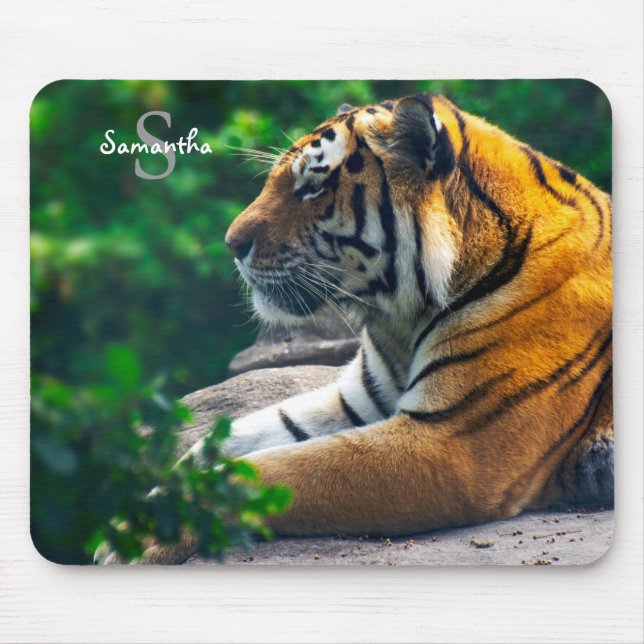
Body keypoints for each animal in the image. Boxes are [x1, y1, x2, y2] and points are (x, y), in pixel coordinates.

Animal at [95, 93, 613, 564]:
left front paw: (149, 535)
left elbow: (275, 471)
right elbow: (221, 444)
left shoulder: (456, 443)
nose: (231, 244)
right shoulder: (357, 400)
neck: (400, 318)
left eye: (312, 187)